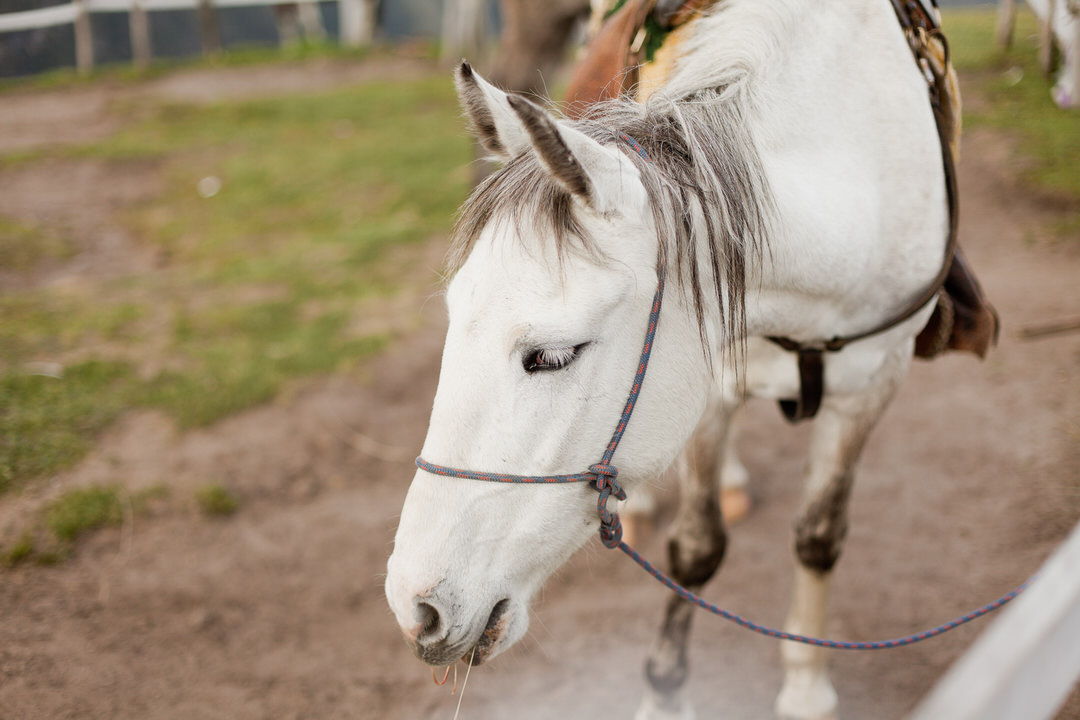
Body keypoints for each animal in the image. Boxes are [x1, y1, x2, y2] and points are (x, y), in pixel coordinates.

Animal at [384, 2, 950, 716]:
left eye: (553, 355)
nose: (416, 607)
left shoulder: (873, 387)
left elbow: (819, 537)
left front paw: (805, 687)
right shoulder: (714, 381)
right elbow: (697, 547)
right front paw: (665, 690)